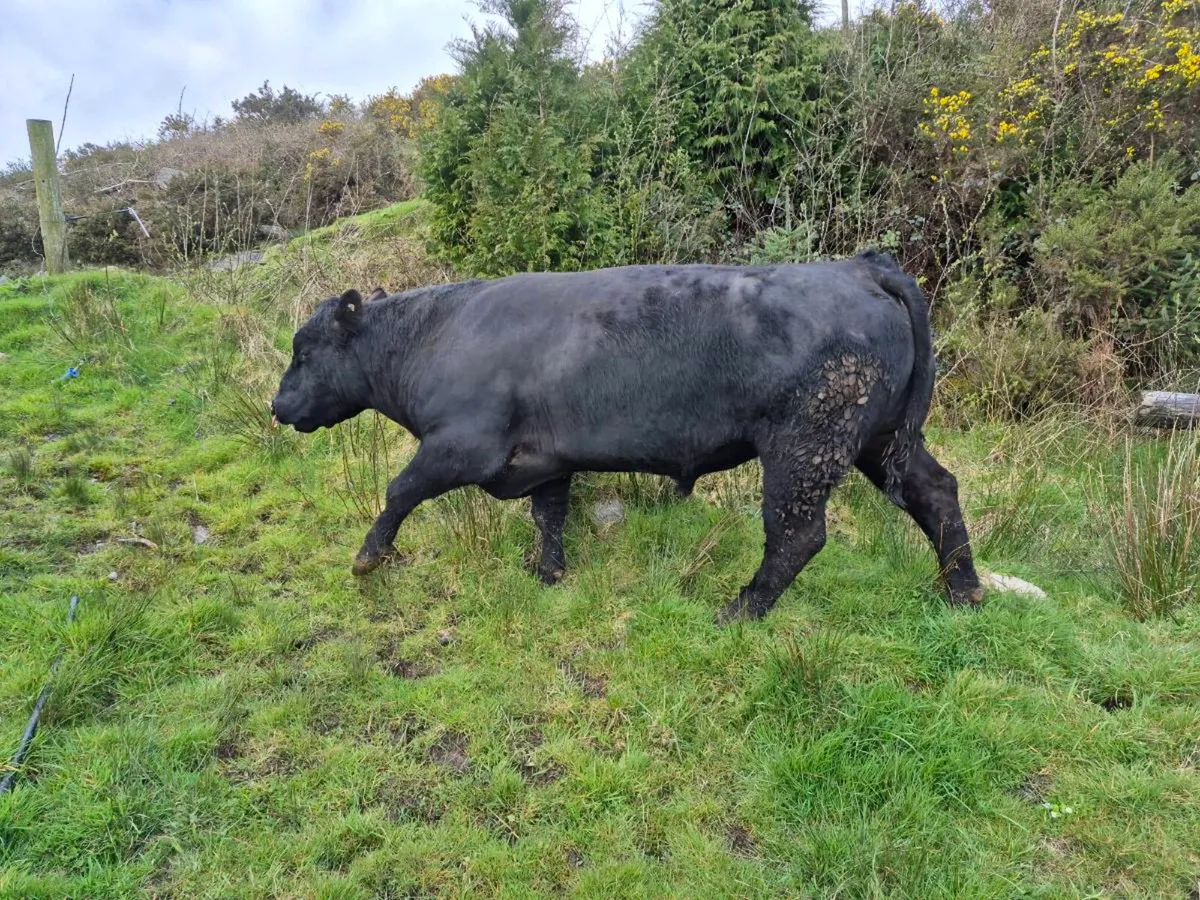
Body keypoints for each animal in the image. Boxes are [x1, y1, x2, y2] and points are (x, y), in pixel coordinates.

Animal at [270, 252, 983, 622]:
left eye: (304, 351)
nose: (277, 406)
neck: (435, 333)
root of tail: (859, 267)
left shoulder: (460, 445)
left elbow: (399, 490)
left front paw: (369, 557)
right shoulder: (544, 460)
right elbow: (549, 516)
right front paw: (547, 572)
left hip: (804, 447)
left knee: (798, 534)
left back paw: (742, 609)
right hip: (878, 440)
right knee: (937, 493)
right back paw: (963, 590)